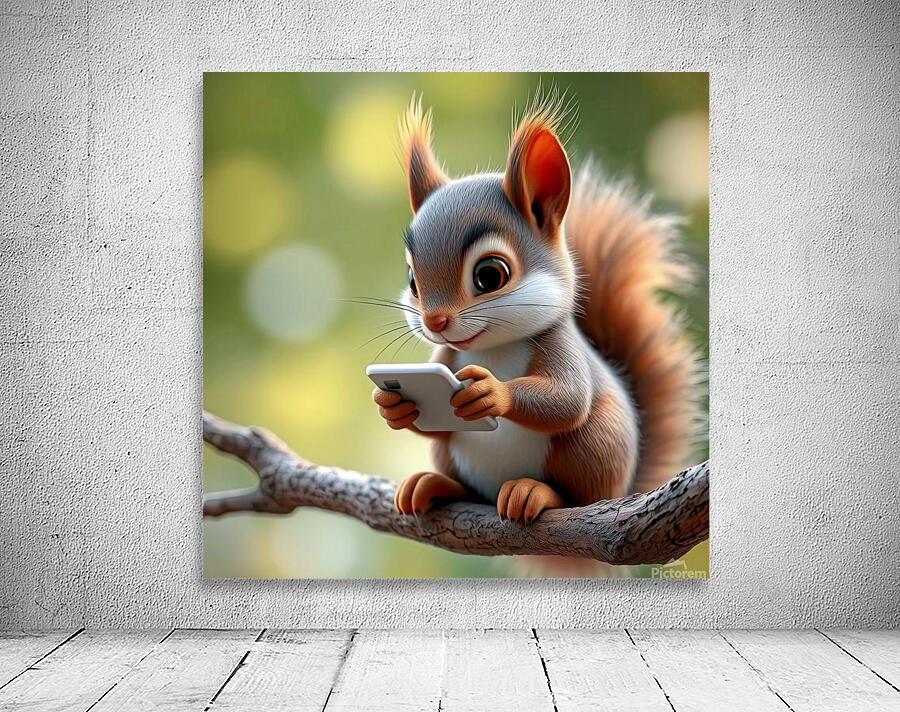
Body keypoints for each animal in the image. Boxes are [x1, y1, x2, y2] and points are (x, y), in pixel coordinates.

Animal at [373, 94, 699, 525]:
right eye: (413, 280)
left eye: (490, 275)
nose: (434, 321)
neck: (493, 347)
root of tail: (624, 488)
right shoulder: (446, 355)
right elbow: (432, 423)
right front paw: (392, 407)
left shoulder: (560, 346)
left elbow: (567, 400)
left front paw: (492, 392)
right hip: (455, 458)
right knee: (464, 480)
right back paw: (433, 484)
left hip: (595, 446)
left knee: (577, 493)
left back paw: (534, 493)